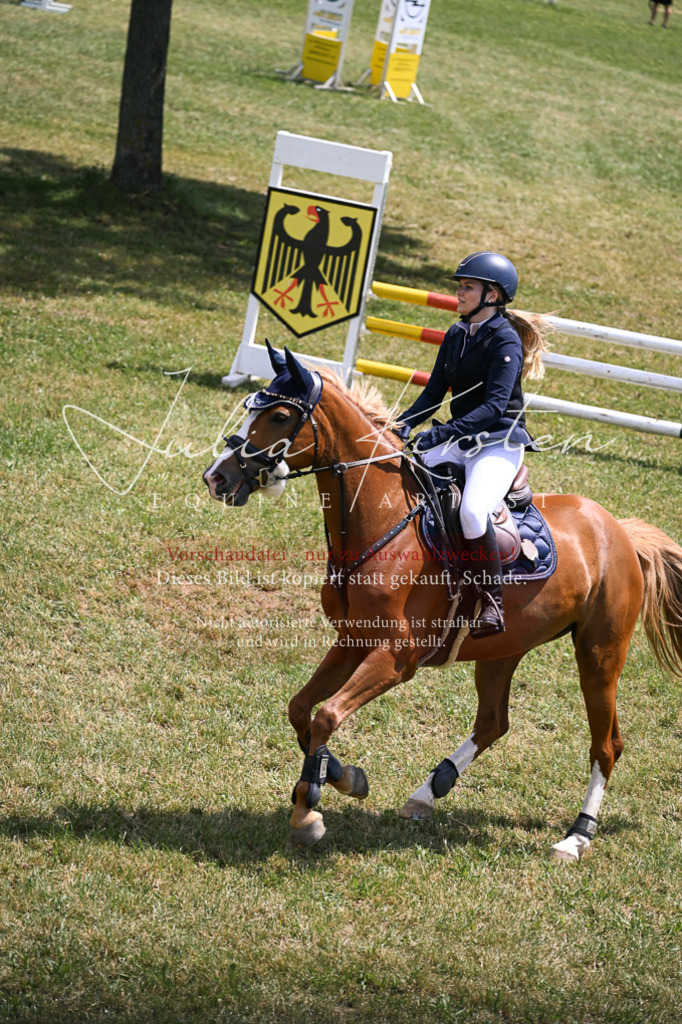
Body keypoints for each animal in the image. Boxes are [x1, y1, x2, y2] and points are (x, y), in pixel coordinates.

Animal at [203, 343, 682, 861]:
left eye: (279, 415)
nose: (217, 477)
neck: (382, 520)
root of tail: (619, 530)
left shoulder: (396, 658)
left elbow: (327, 715)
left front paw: (310, 810)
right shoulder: (352, 641)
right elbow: (302, 712)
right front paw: (338, 777)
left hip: (599, 655)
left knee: (606, 745)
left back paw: (576, 836)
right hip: (502, 649)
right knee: (492, 722)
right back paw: (428, 792)